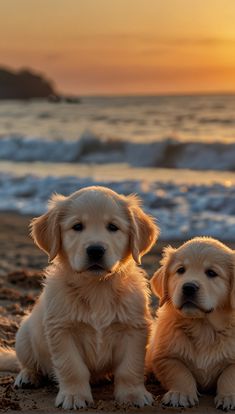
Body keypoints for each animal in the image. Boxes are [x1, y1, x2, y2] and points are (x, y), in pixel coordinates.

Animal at [0, 188, 159, 410]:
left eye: (113, 227)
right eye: (77, 227)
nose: (95, 250)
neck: (97, 287)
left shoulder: (134, 329)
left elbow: (130, 367)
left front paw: (132, 394)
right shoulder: (62, 330)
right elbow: (72, 367)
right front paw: (74, 396)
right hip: (23, 336)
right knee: (26, 362)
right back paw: (28, 376)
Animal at [148, 236, 235, 410]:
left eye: (211, 273)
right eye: (181, 270)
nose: (188, 287)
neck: (203, 327)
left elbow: (229, 376)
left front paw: (229, 396)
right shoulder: (165, 357)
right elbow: (179, 373)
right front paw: (180, 394)